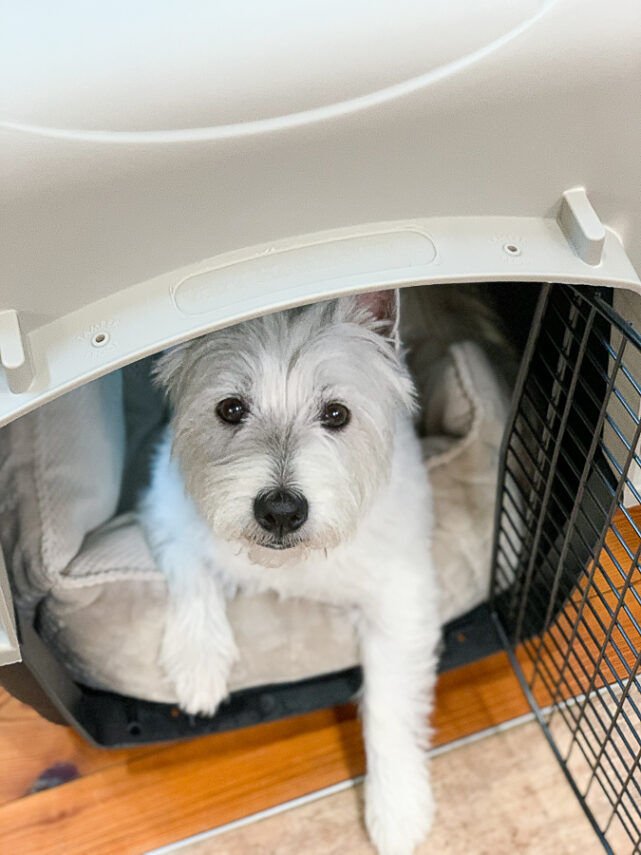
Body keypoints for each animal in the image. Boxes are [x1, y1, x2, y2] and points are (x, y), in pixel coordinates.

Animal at [140, 290, 440, 855]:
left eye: (336, 414)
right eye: (230, 409)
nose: (280, 511)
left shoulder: (401, 595)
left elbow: (388, 701)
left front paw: (396, 807)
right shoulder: (166, 504)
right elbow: (194, 572)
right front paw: (199, 664)